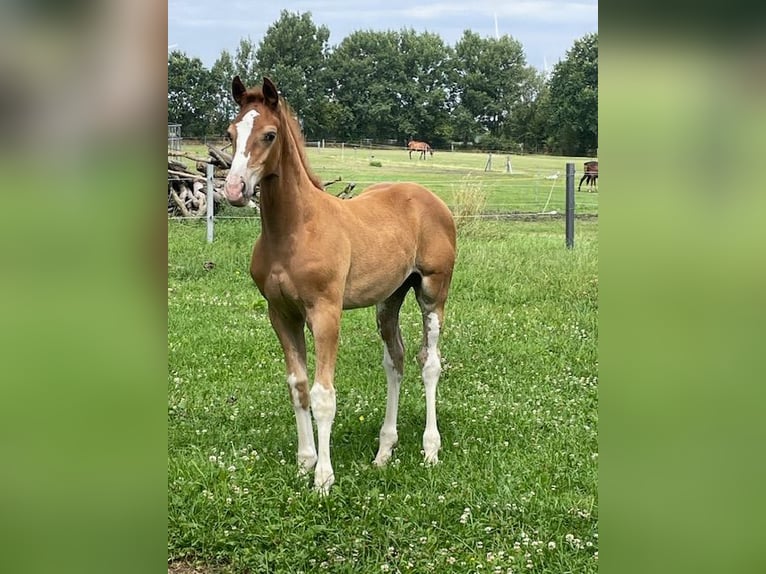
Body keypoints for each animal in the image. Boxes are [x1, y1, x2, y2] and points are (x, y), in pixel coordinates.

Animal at [223, 77, 457, 495]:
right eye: (230, 133)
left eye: (269, 134)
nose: (234, 190)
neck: (294, 230)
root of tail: (431, 199)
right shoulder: (281, 314)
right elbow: (298, 386)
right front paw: (304, 462)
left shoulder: (325, 313)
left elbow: (323, 395)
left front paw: (323, 478)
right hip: (389, 299)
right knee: (395, 360)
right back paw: (384, 451)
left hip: (433, 291)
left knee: (429, 363)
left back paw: (430, 449)